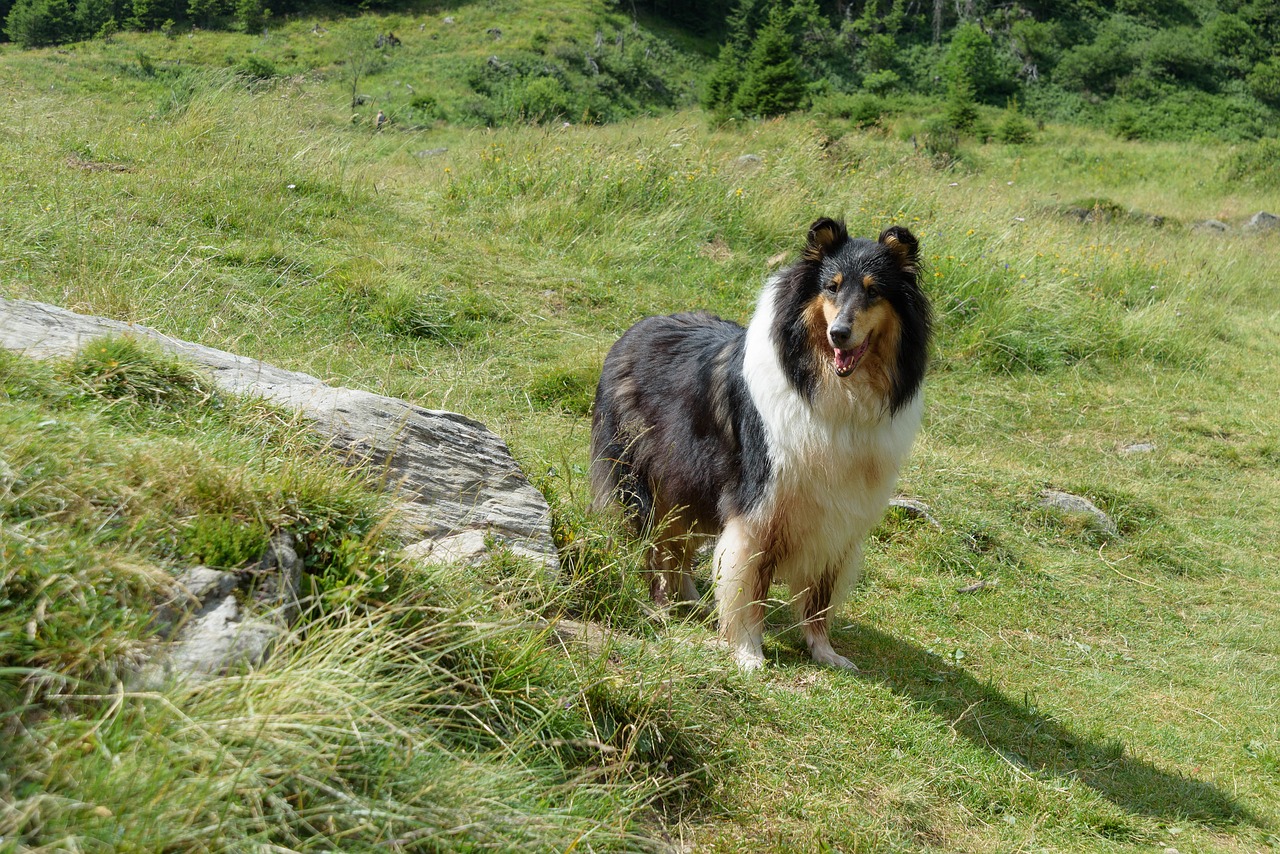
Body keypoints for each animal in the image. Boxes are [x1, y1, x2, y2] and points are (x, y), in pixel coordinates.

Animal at [588, 217, 931, 670]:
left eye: (874, 291)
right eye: (832, 286)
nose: (839, 334)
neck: (830, 393)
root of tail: (634, 330)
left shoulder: (838, 521)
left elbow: (819, 599)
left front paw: (826, 653)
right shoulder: (759, 510)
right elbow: (747, 589)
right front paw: (748, 653)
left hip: (690, 488)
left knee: (678, 550)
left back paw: (691, 601)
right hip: (646, 481)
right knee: (657, 548)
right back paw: (662, 604)